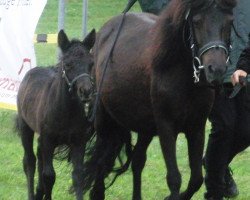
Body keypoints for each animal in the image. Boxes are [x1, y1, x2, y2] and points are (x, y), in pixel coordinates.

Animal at [15, 29, 95, 200]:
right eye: (68, 64)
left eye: (91, 64)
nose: (86, 91)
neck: (65, 111)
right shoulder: (49, 140)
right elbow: (49, 176)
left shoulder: (79, 142)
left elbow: (78, 175)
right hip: (26, 127)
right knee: (29, 161)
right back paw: (32, 194)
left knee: (39, 156)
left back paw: (39, 193)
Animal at [82, 0, 236, 200]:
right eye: (197, 21)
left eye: (229, 21)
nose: (215, 70)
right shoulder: (166, 127)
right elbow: (174, 178)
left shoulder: (196, 127)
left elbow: (196, 178)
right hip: (103, 120)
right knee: (101, 159)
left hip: (145, 128)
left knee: (137, 161)